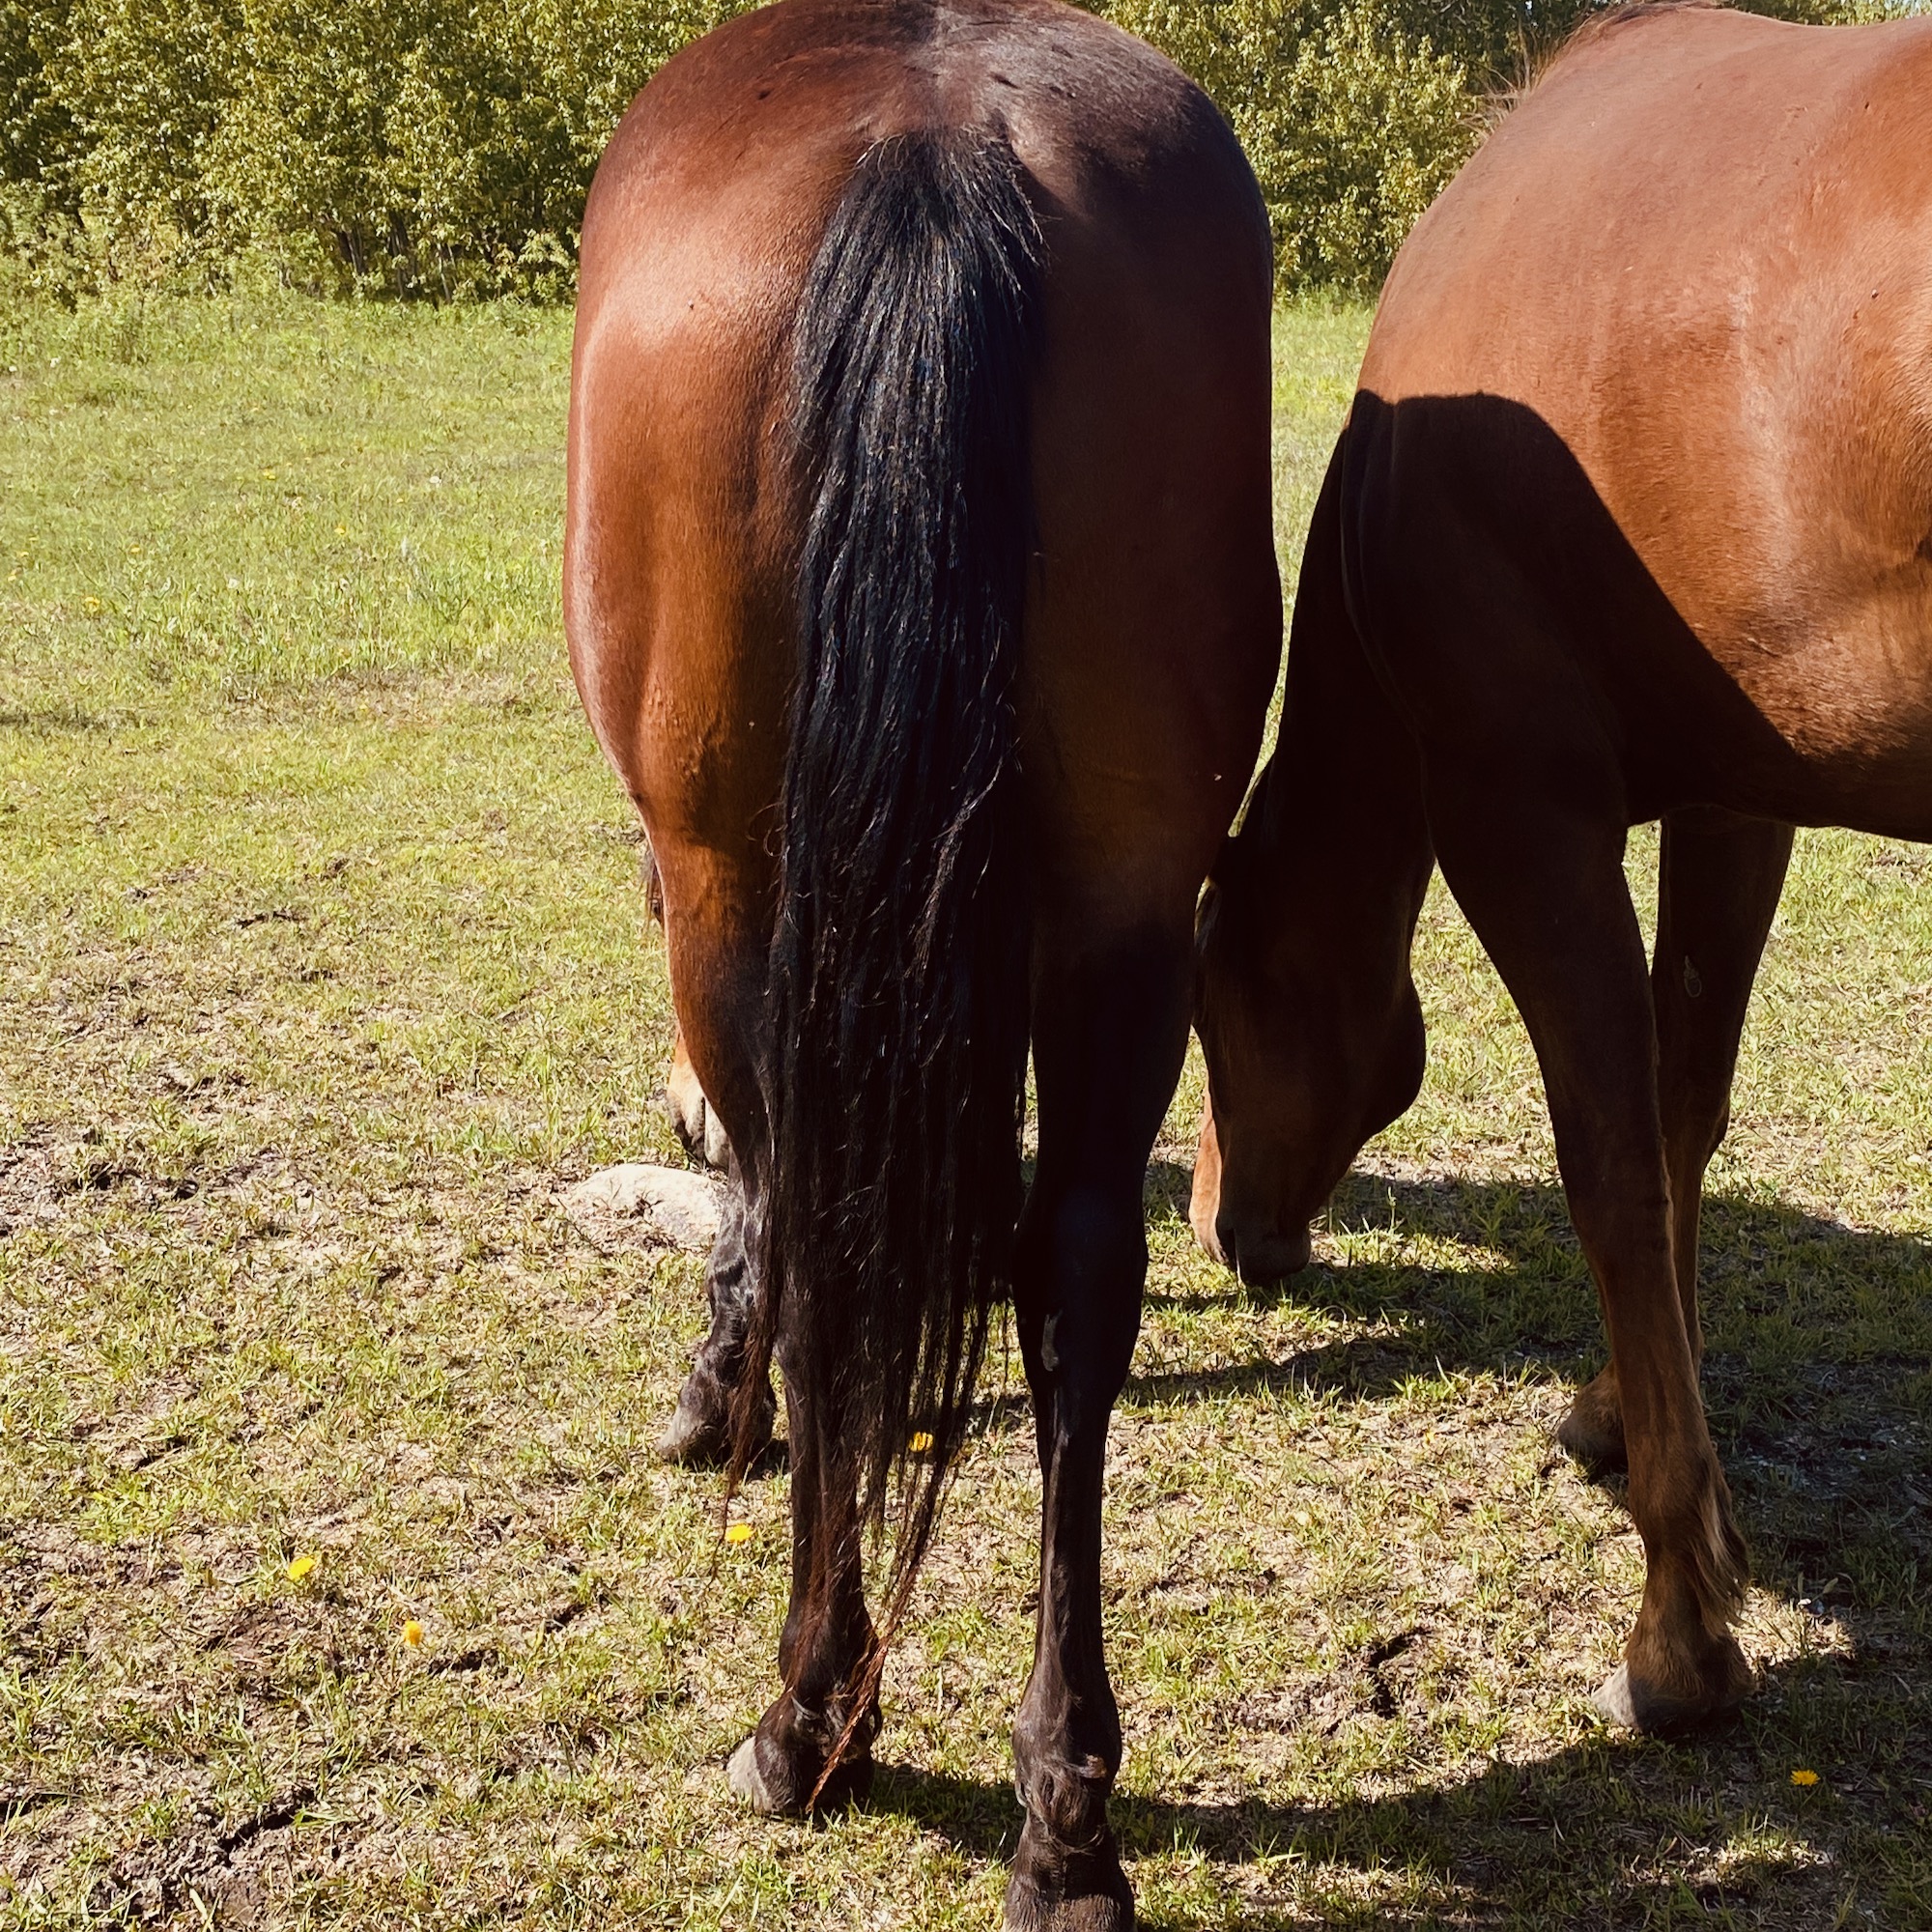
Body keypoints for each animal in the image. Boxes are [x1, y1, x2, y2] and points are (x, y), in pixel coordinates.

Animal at [564, 7, 1275, 1924]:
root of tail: (938, 136)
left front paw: (715, 1381)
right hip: (1130, 898)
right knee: (1079, 1280)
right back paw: (1065, 1812)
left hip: (742, 888)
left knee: (825, 1228)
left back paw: (810, 1714)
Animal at [1190, 0, 1932, 1747]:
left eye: (1211, 1002)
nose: (1228, 1232)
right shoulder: (1736, 802)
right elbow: (1681, 1113)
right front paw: (1620, 1413)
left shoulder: (1520, 817)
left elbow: (1607, 1160)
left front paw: (1679, 1635)